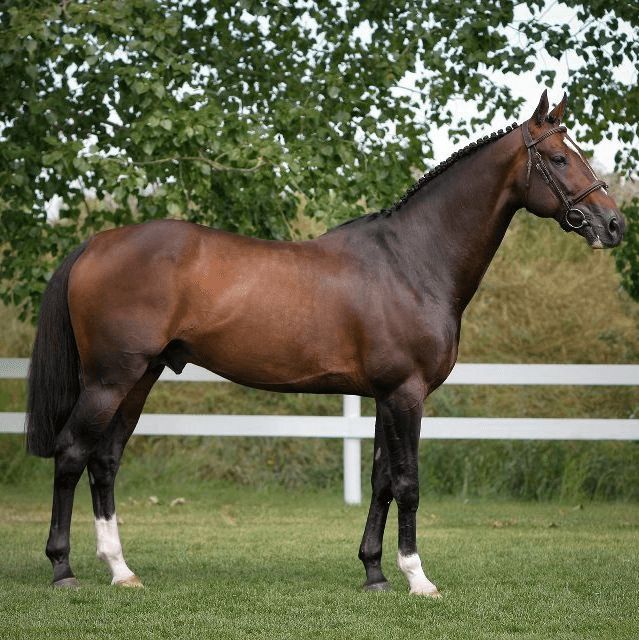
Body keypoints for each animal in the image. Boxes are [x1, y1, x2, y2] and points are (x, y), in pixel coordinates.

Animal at [26, 90, 624, 594]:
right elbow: (408, 482)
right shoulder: (407, 394)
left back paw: (121, 570)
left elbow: (381, 480)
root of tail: (97, 244)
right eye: (560, 158)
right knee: (72, 454)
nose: (613, 224)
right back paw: (62, 569)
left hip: (140, 377)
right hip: (110, 380)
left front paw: (375, 574)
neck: (412, 261)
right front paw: (418, 579)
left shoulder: (386, 396)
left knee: (105, 461)